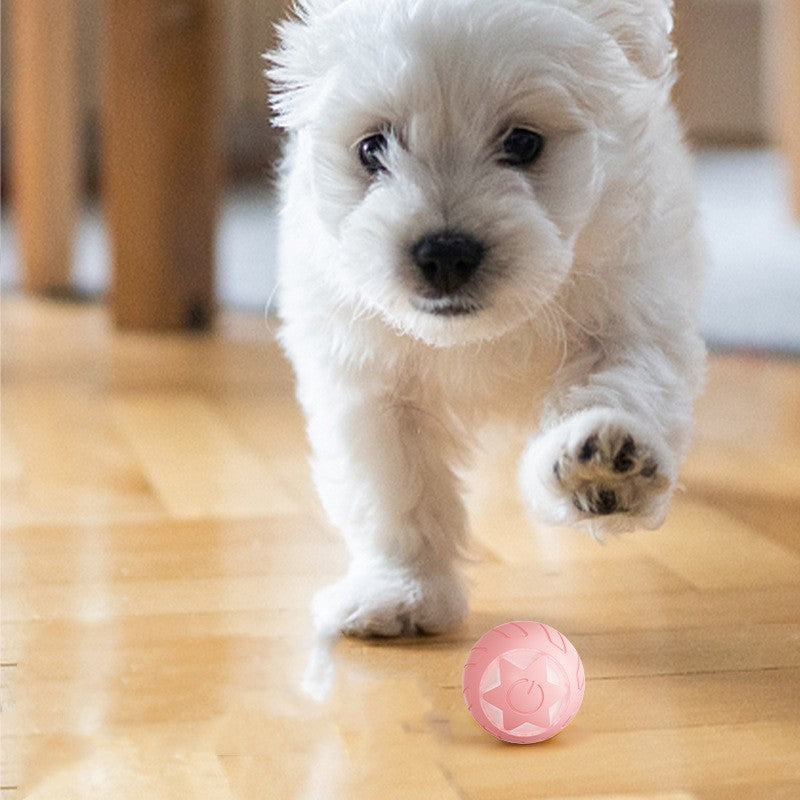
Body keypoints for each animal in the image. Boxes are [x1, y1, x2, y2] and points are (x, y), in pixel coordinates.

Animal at [270, 0, 708, 636]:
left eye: (523, 143)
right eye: (373, 148)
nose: (445, 253)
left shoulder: (632, 318)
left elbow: (621, 389)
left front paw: (604, 467)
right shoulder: (371, 383)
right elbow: (397, 490)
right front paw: (402, 592)